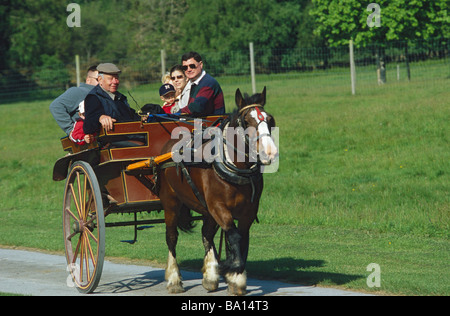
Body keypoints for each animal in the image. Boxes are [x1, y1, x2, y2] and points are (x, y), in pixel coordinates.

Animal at [158, 87, 278, 296]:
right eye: (246, 121)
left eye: (270, 120)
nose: (269, 152)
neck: (236, 167)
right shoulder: (219, 207)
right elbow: (234, 236)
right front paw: (233, 271)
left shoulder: (248, 211)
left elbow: (242, 239)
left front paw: (234, 277)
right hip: (171, 202)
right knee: (171, 237)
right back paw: (174, 279)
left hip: (205, 208)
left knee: (206, 234)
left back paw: (210, 276)